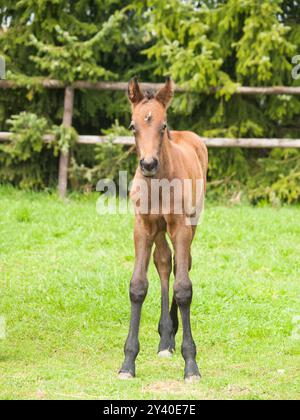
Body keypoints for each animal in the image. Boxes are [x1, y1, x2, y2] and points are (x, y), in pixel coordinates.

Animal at [118, 77, 207, 382]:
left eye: (163, 125)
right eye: (132, 126)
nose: (148, 164)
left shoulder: (180, 226)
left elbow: (184, 288)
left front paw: (191, 363)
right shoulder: (143, 227)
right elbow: (138, 286)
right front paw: (127, 362)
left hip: (193, 222)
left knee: (184, 263)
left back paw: (171, 335)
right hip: (158, 231)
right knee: (164, 262)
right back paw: (165, 338)